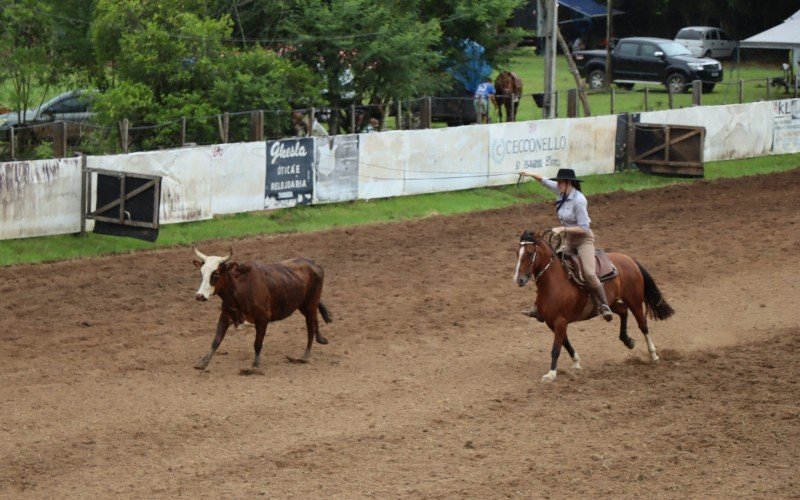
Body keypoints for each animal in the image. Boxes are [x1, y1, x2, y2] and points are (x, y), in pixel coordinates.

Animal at [194, 246, 332, 372]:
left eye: (216, 274)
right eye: (201, 273)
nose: (199, 296)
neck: (242, 288)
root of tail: (312, 263)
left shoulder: (263, 319)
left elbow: (257, 343)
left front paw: (255, 365)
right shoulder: (225, 315)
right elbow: (216, 340)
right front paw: (202, 362)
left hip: (310, 304)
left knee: (310, 327)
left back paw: (305, 356)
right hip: (303, 305)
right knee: (314, 320)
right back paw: (320, 340)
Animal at [512, 230, 676, 382]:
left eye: (530, 253)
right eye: (517, 253)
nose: (519, 280)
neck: (555, 283)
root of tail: (629, 259)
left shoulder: (560, 321)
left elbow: (556, 348)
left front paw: (551, 374)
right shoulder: (551, 322)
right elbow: (565, 342)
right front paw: (576, 363)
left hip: (634, 301)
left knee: (643, 325)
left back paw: (653, 354)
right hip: (610, 303)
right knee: (623, 311)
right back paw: (627, 340)